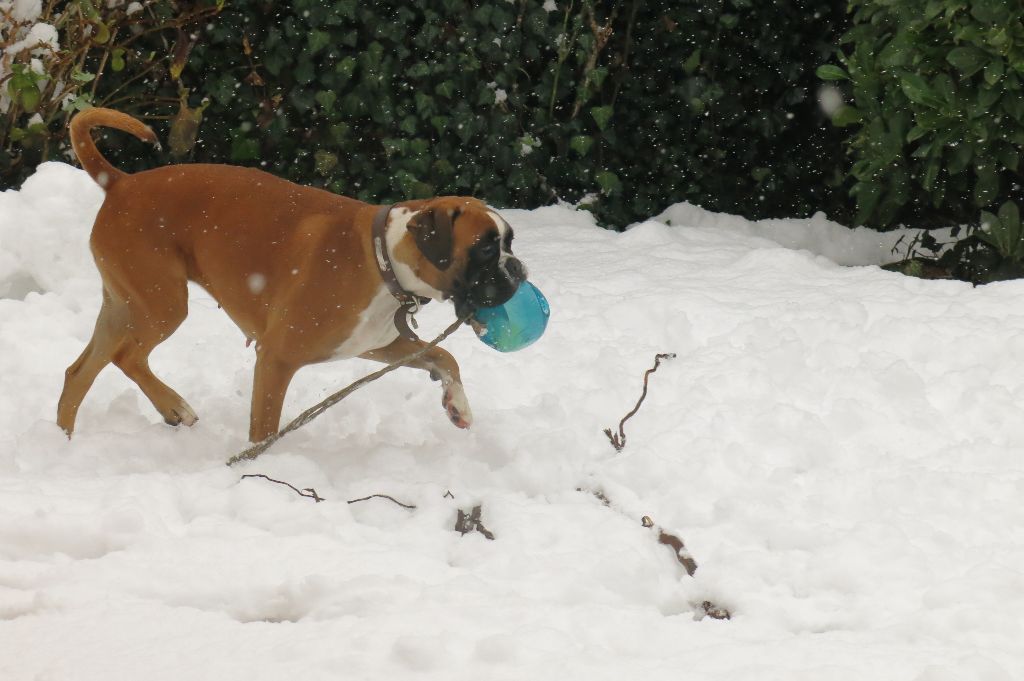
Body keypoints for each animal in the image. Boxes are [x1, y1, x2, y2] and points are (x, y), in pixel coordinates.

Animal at [58, 107, 528, 440]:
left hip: (122, 307)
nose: (519, 268)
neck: (382, 258)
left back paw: (65, 442)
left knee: (80, 371)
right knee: (127, 357)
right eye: (487, 248)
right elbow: (264, 428)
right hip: (163, 304)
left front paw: (458, 404)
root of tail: (120, 182)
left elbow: (444, 356)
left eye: (509, 241)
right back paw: (173, 406)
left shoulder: (378, 345)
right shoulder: (277, 358)